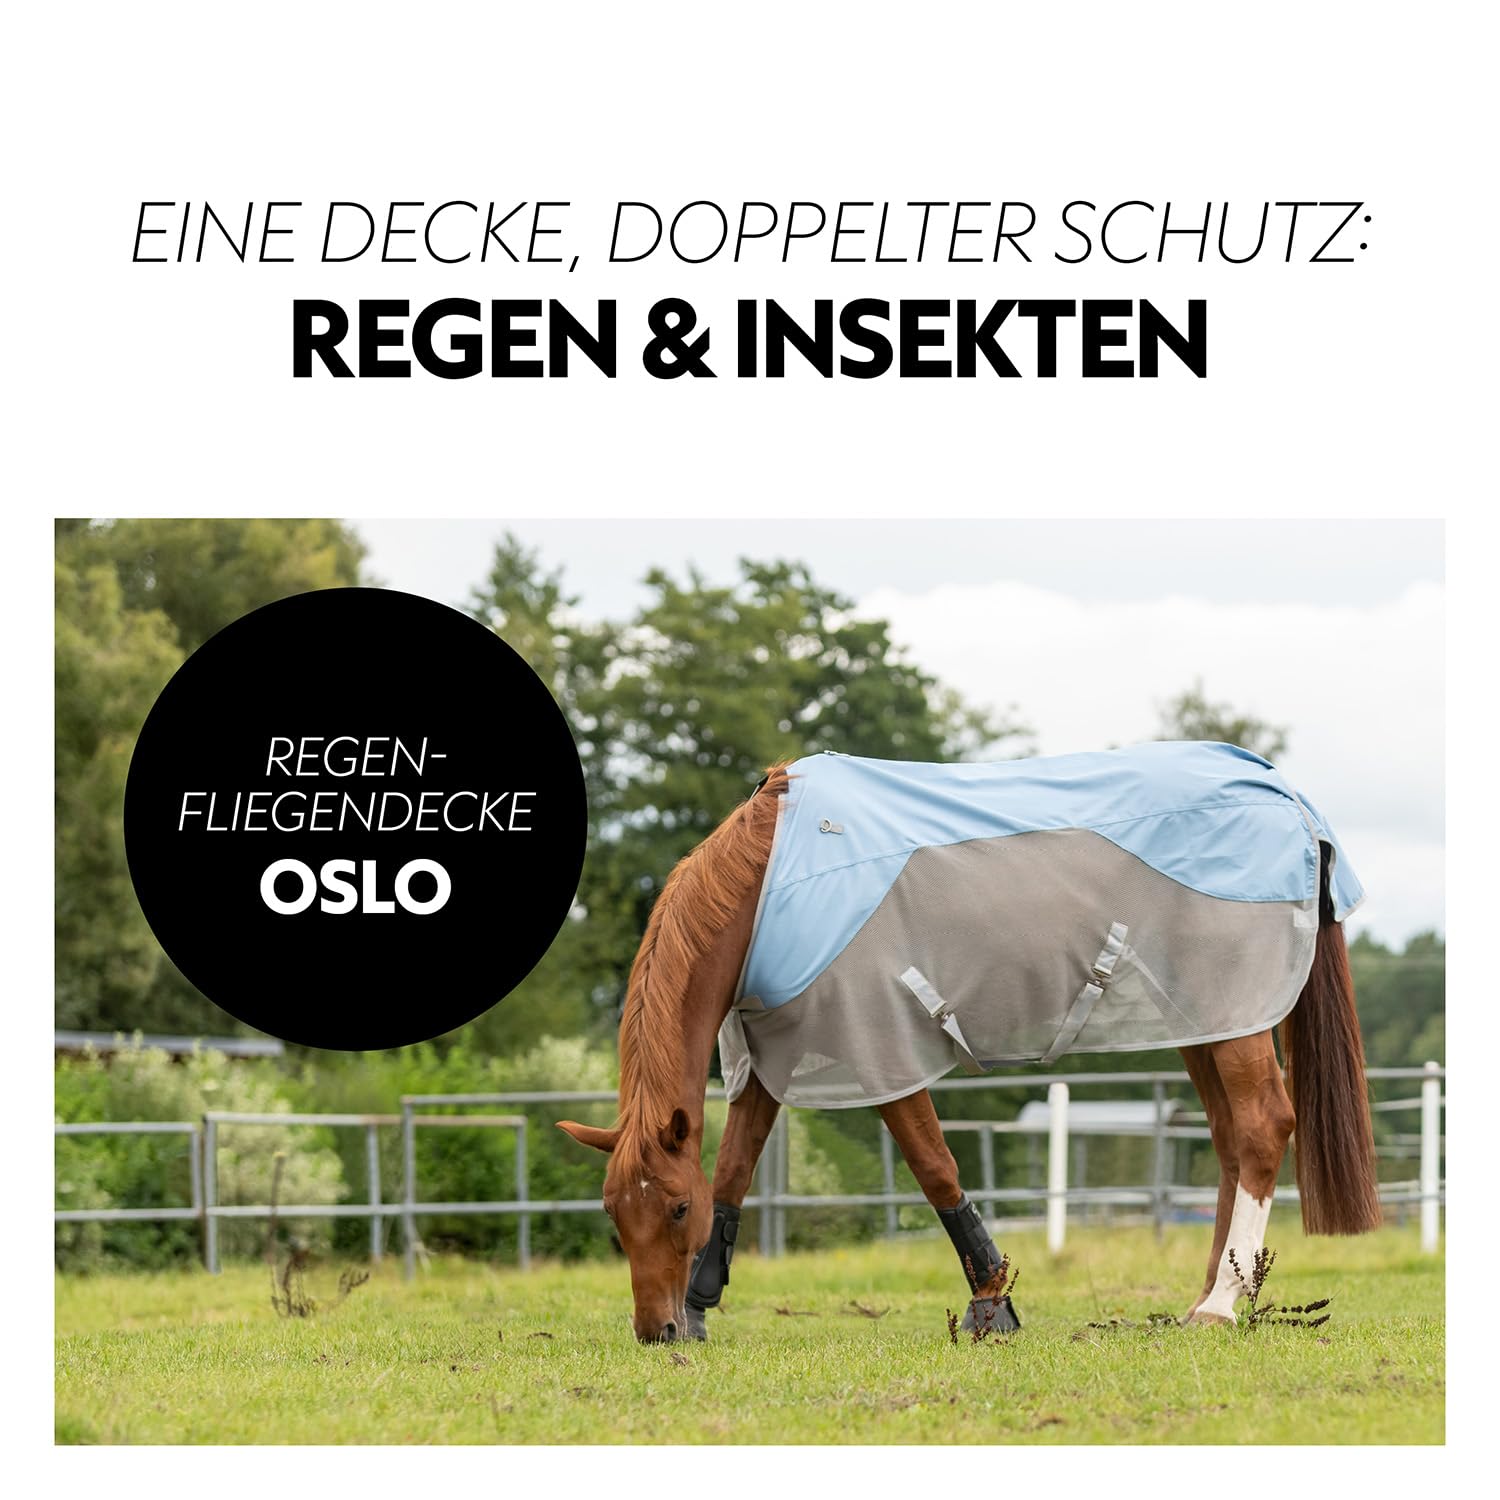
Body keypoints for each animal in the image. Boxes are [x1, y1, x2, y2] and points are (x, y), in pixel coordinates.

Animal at [558, 745, 1382, 1342]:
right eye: (614, 1215)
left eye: (672, 1210)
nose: (655, 1332)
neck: (773, 883)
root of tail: (1286, 798)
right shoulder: (770, 1058)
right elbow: (732, 1173)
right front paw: (702, 1306)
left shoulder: (879, 1051)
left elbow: (935, 1168)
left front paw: (993, 1302)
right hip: (1207, 1022)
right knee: (1231, 1140)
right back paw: (1210, 1294)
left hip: (1237, 1021)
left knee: (1262, 1126)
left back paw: (1220, 1304)